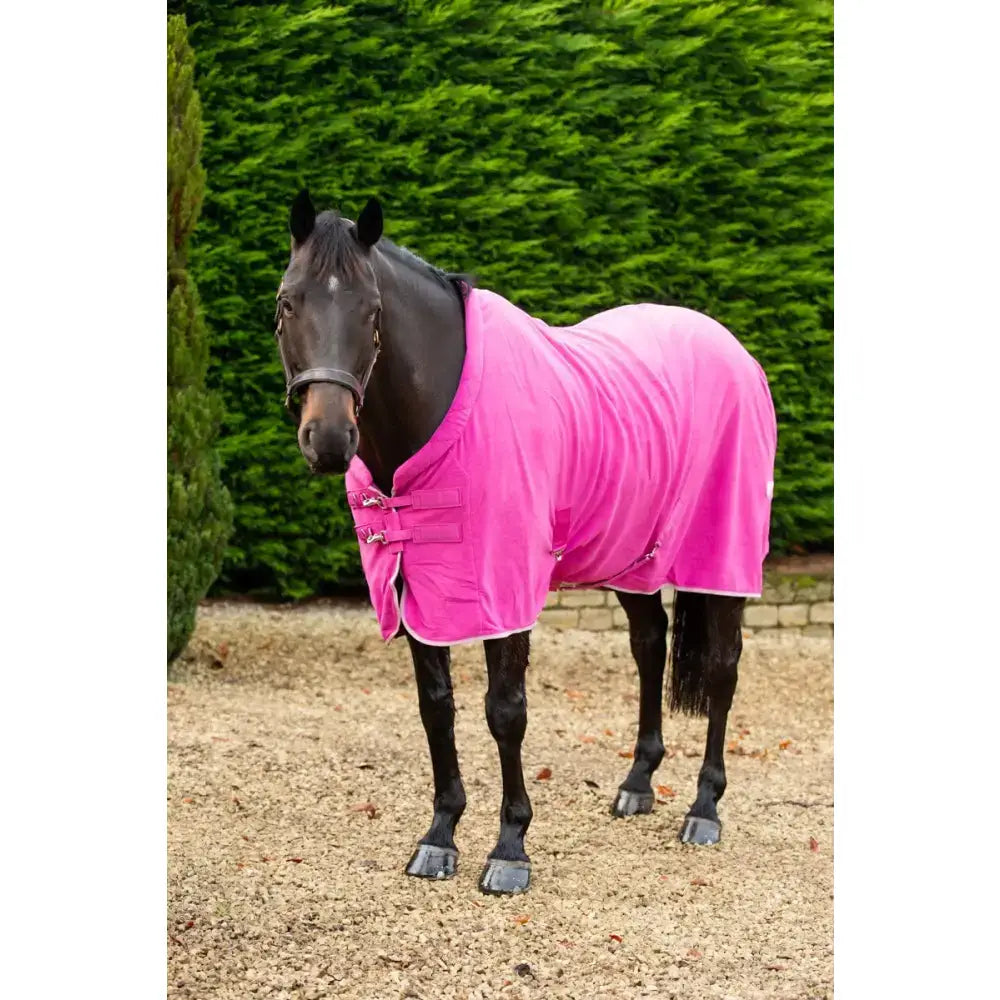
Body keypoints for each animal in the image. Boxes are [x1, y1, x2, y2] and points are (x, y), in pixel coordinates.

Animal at [272, 191, 777, 896]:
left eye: (372, 310)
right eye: (289, 301)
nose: (328, 439)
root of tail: (734, 350)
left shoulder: (504, 588)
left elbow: (505, 712)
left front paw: (510, 848)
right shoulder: (412, 585)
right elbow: (436, 709)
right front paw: (439, 837)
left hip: (722, 556)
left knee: (725, 667)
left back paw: (704, 809)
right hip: (632, 556)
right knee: (650, 647)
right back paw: (638, 783)